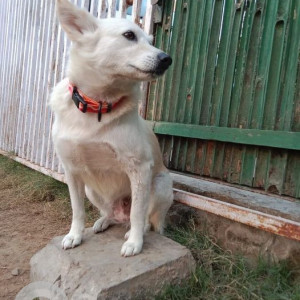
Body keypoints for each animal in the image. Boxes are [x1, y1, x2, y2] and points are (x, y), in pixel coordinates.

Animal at [50, 0, 173, 258]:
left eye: (150, 40)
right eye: (129, 35)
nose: (167, 59)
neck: (97, 106)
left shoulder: (140, 168)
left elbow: (137, 213)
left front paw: (135, 243)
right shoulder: (71, 170)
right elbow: (77, 210)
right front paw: (74, 236)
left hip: (160, 185)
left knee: (144, 218)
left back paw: (136, 231)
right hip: (92, 191)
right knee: (110, 213)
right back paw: (103, 222)